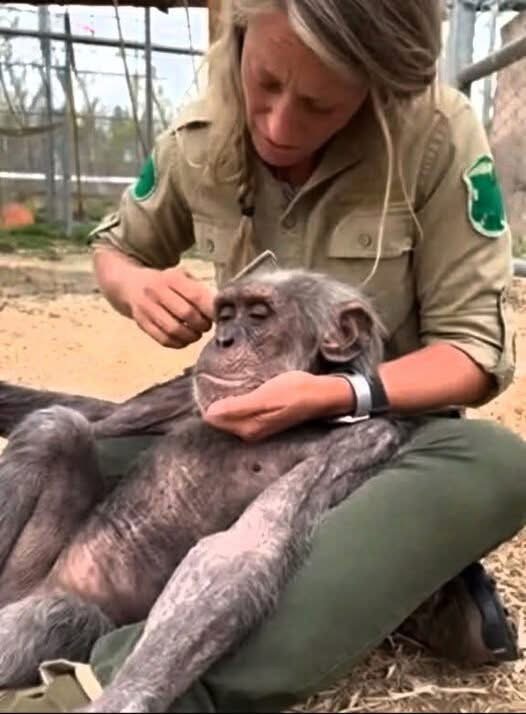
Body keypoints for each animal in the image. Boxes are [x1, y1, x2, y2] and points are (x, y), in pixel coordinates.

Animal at [0, 269, 415, 713]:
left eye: (259, 315)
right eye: (225, 315)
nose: (223, 339)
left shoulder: (362, 444)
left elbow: (235, 554)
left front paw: (121, 700)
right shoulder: (184, 394)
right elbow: (100, 413)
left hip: (42, 596)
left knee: (60, 616)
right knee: (55, 427)